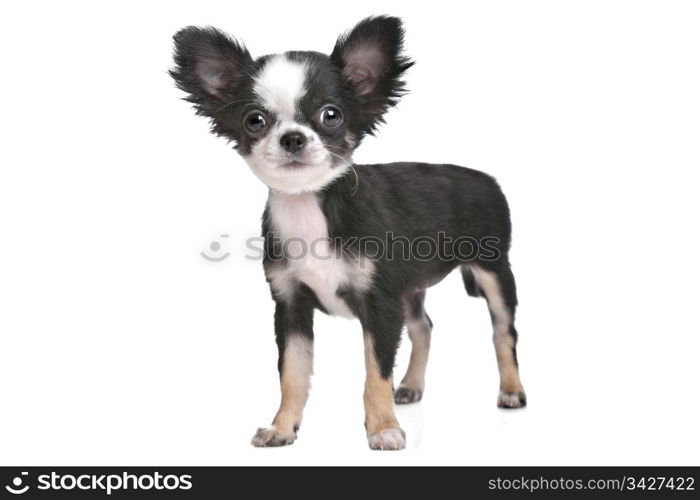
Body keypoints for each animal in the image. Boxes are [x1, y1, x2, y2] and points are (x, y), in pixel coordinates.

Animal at [170, 15, 524, 452]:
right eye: (255, 120)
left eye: (331, 115)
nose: (292, 137)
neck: (309, 208)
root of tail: (486, 178)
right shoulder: (292, 307)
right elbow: (292, 374)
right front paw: (282, 428)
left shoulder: (380, 306)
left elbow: (375, 374)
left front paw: (383, 429)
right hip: (407, 290)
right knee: (423, 327)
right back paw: (412, 386)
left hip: (494, 274)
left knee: (503, 333)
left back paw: (511, 390)